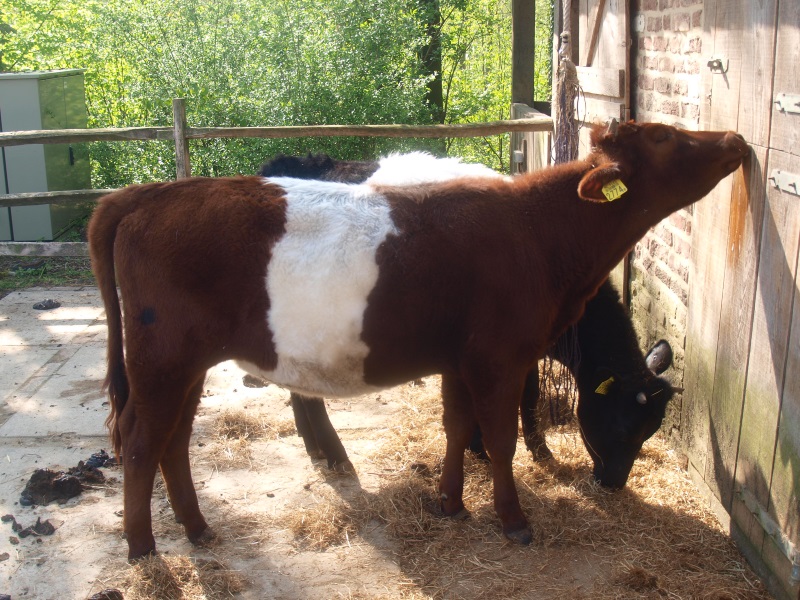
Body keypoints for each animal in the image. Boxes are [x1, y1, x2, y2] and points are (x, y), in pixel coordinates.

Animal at [260, 151, 675, 488]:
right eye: (623, 426)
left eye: (651, 431)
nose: (614, 484)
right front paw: (488, 450)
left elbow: (526, 395)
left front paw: (532, 450)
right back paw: (336, 455)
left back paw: (315, 448)